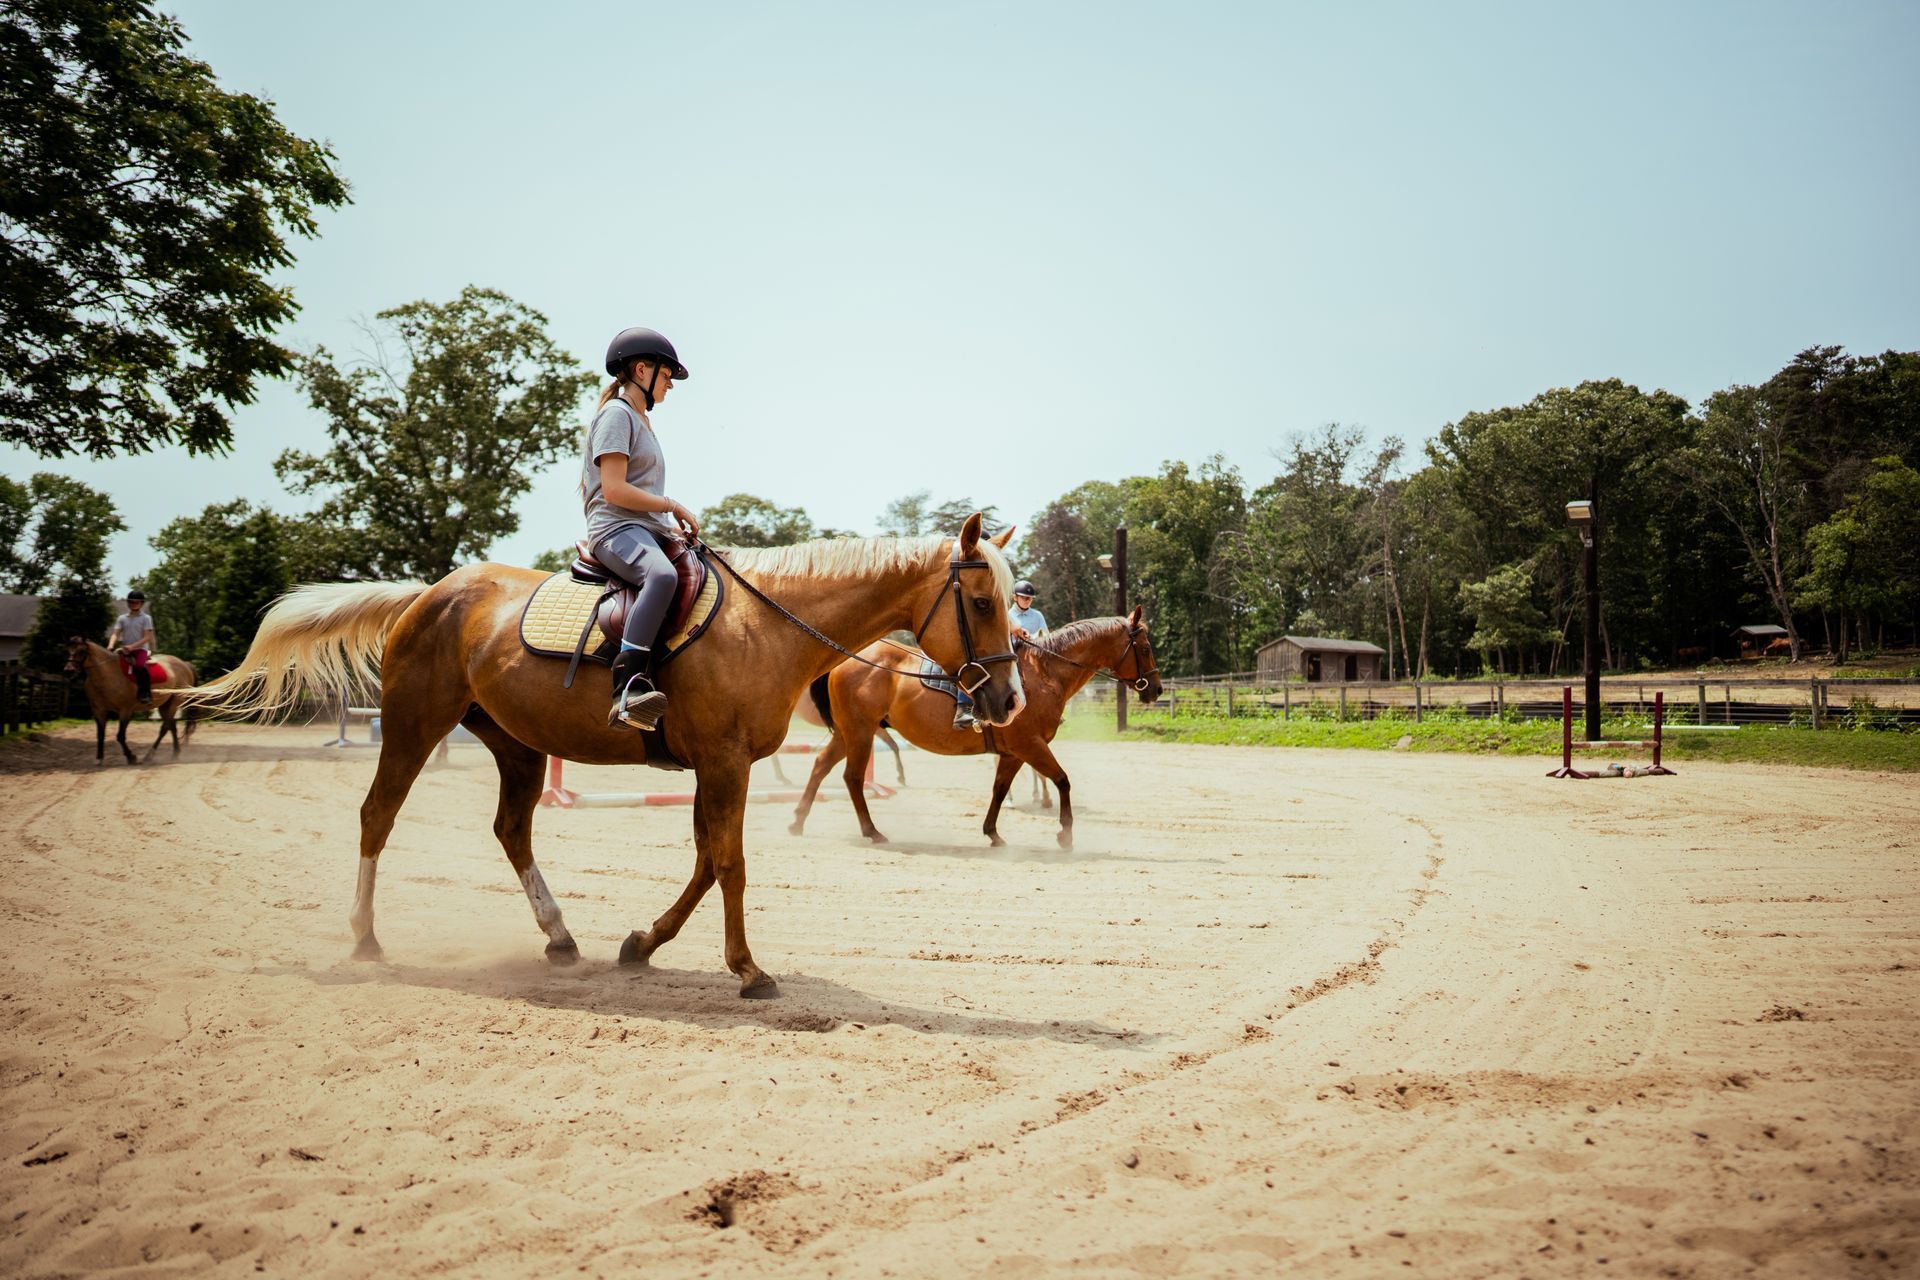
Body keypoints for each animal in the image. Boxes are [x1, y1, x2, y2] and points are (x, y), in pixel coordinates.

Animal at [63, 638, 198, 764]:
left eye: (82, 651)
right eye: (67, 650)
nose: (69, 670)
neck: (107, 674)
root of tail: (184, 663)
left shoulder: (125, 711)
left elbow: (120, 736)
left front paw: (131, 757)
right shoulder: (99, 711)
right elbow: (100, 735)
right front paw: (99, 758)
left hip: (174, 702)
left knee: (165, 727)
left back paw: (150, 755)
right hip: (164, 704)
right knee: (171, 726)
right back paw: (175, 753)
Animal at [187, 516, 1023, 998]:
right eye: (982, 603)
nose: (1009, 700)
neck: (767, 624)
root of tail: (430, 592)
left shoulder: (717, 765)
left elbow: (704, 859)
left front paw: (642, 944)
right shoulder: (724, 762)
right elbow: (729, 863)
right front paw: (748, 970)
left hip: (515, 744)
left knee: (511, 831)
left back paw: (560, 938)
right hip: (414, 725)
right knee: (377, 816)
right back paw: (365, 938)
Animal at [789, 608, 1161, 849]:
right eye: (1144, 648)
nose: (1155, 689)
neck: (1043, 673)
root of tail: (849, 658)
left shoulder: (1014, 752)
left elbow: (999, 789)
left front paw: (992, 832)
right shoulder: (1030, 744)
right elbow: (1062, 780)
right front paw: (1065, 835)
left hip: (848, 733)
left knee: (821, 766)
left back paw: (798, 821)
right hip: (861, 732)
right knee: (852, 778)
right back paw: (871, 831)